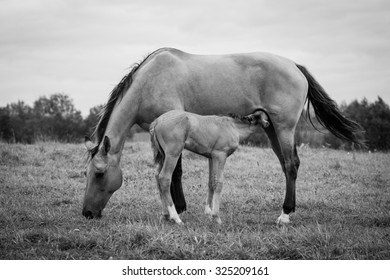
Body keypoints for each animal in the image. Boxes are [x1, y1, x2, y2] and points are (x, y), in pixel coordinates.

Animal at [83, 47, 366, 224]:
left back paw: (285, 214)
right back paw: (290, 209)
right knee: (286, 166)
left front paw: (180, 208)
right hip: (272, 128)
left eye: (99, 174)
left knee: (291, 164)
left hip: (284, 128)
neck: (151, 80)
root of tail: (294, 66)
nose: (87, 213)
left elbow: (176, 172)